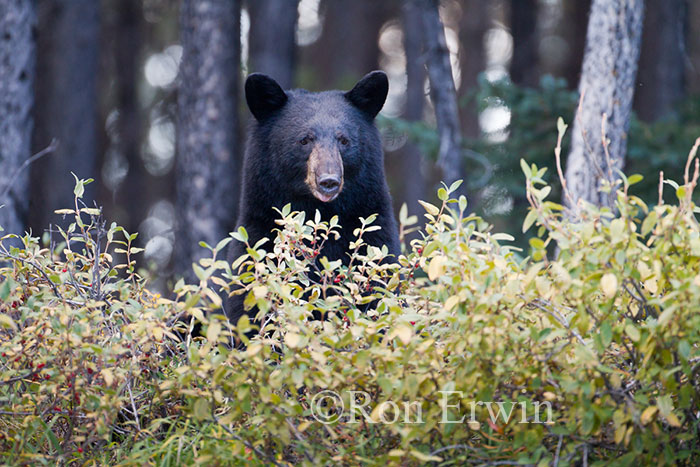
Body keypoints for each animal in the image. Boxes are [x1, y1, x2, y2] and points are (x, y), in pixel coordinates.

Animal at [227, 72, 396, 330]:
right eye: (304, 140)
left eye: (344, 140)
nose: (329, 180)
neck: (318, 211)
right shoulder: (258, 242)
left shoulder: (375, 241)